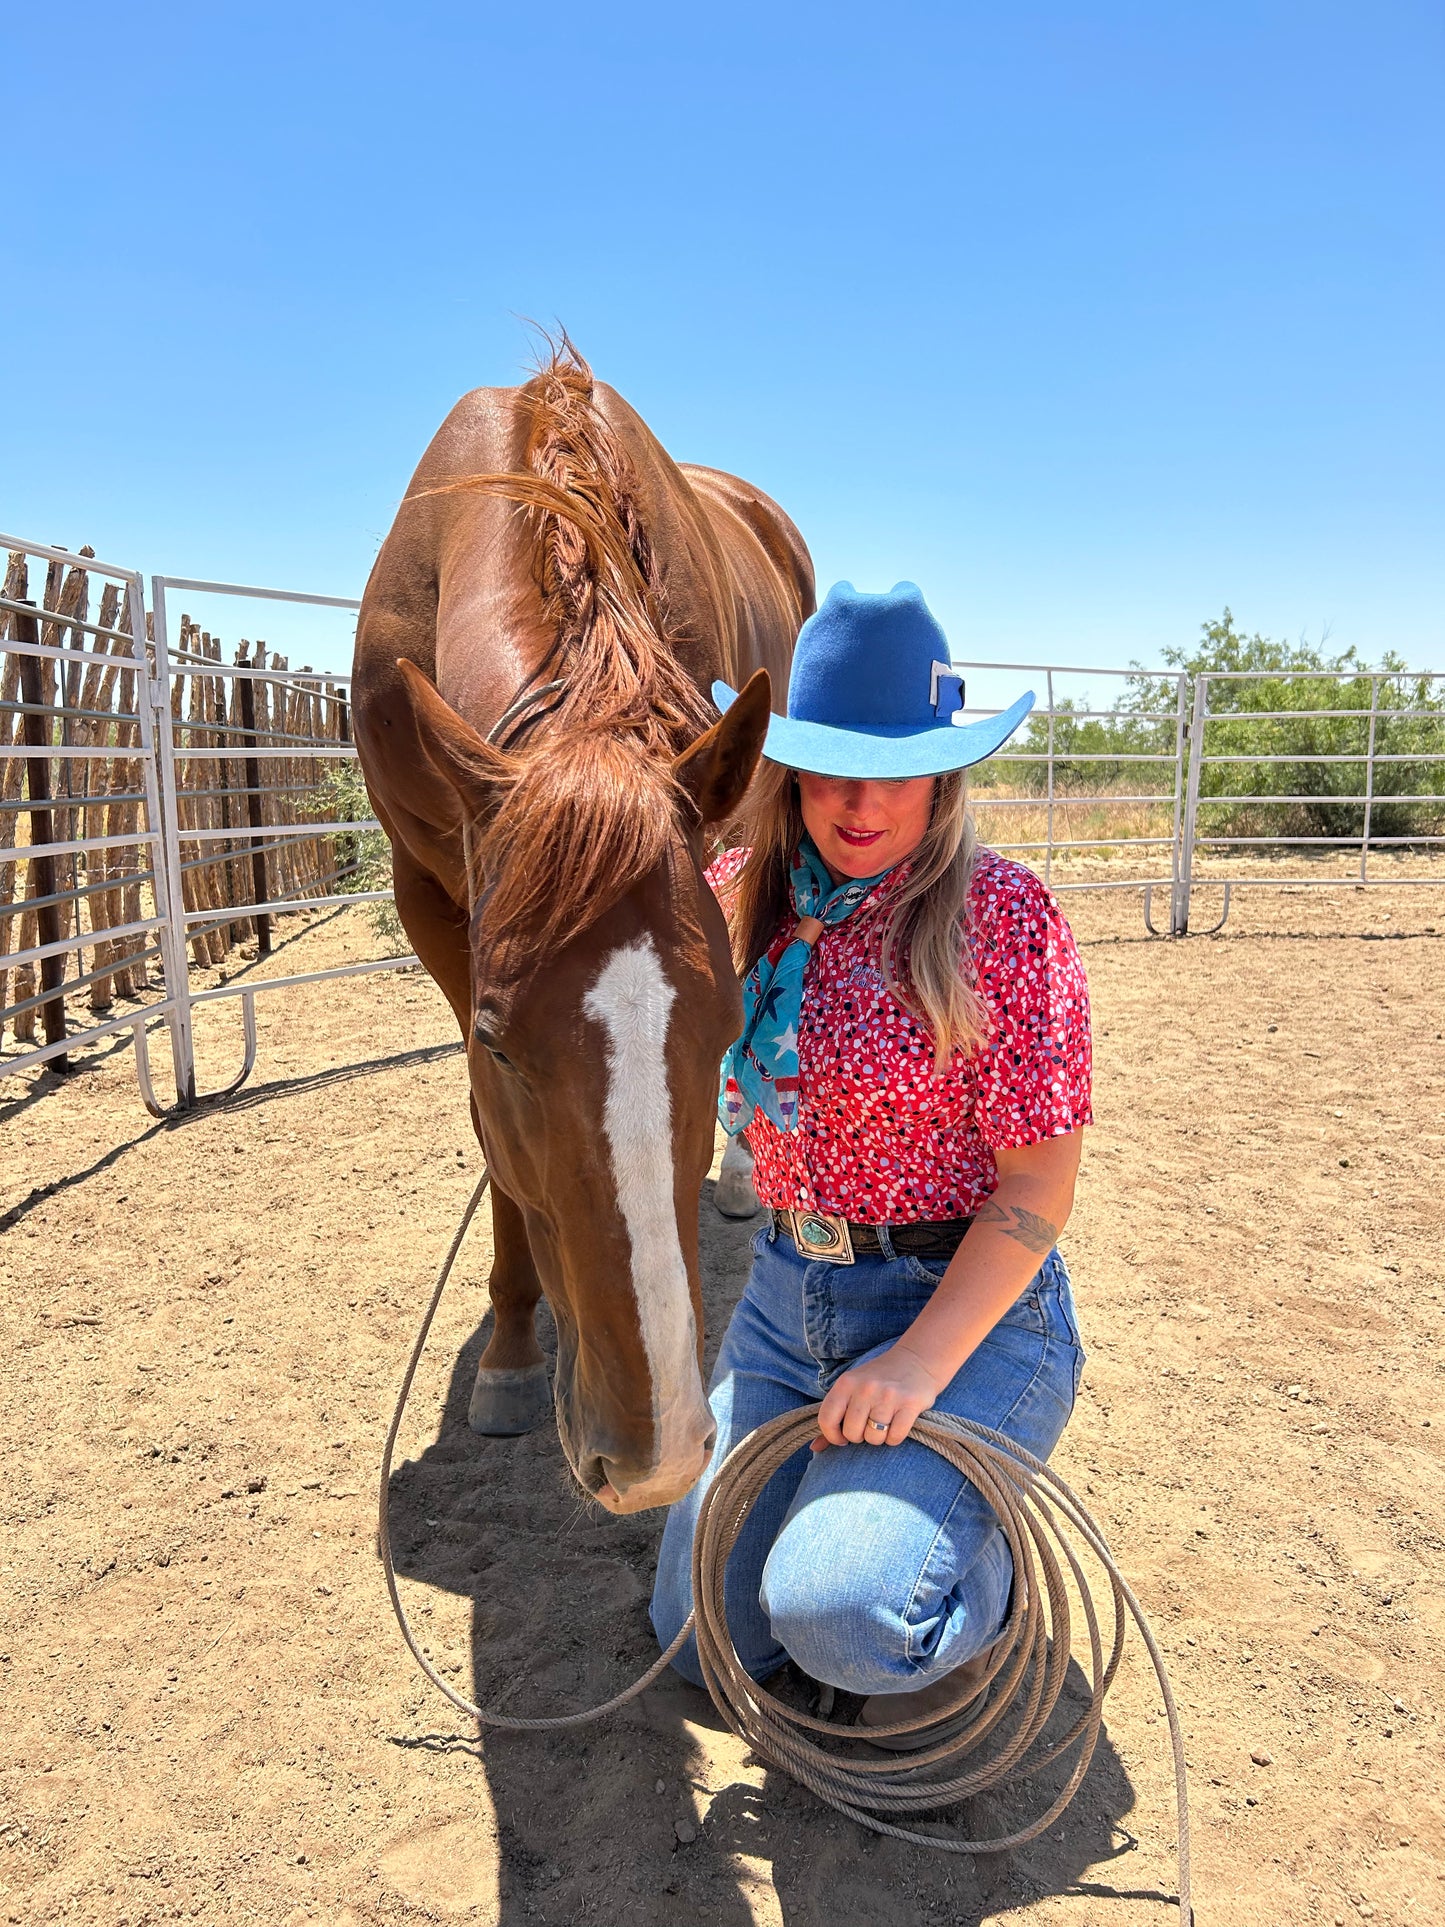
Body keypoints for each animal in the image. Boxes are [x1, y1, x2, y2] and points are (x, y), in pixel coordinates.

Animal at [350, 354, 816, 1510]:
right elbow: (490, 1137)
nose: (658, 1459)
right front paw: (512, 1352)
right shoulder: (432, 897)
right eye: (499, 1045)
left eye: (713, 1029)